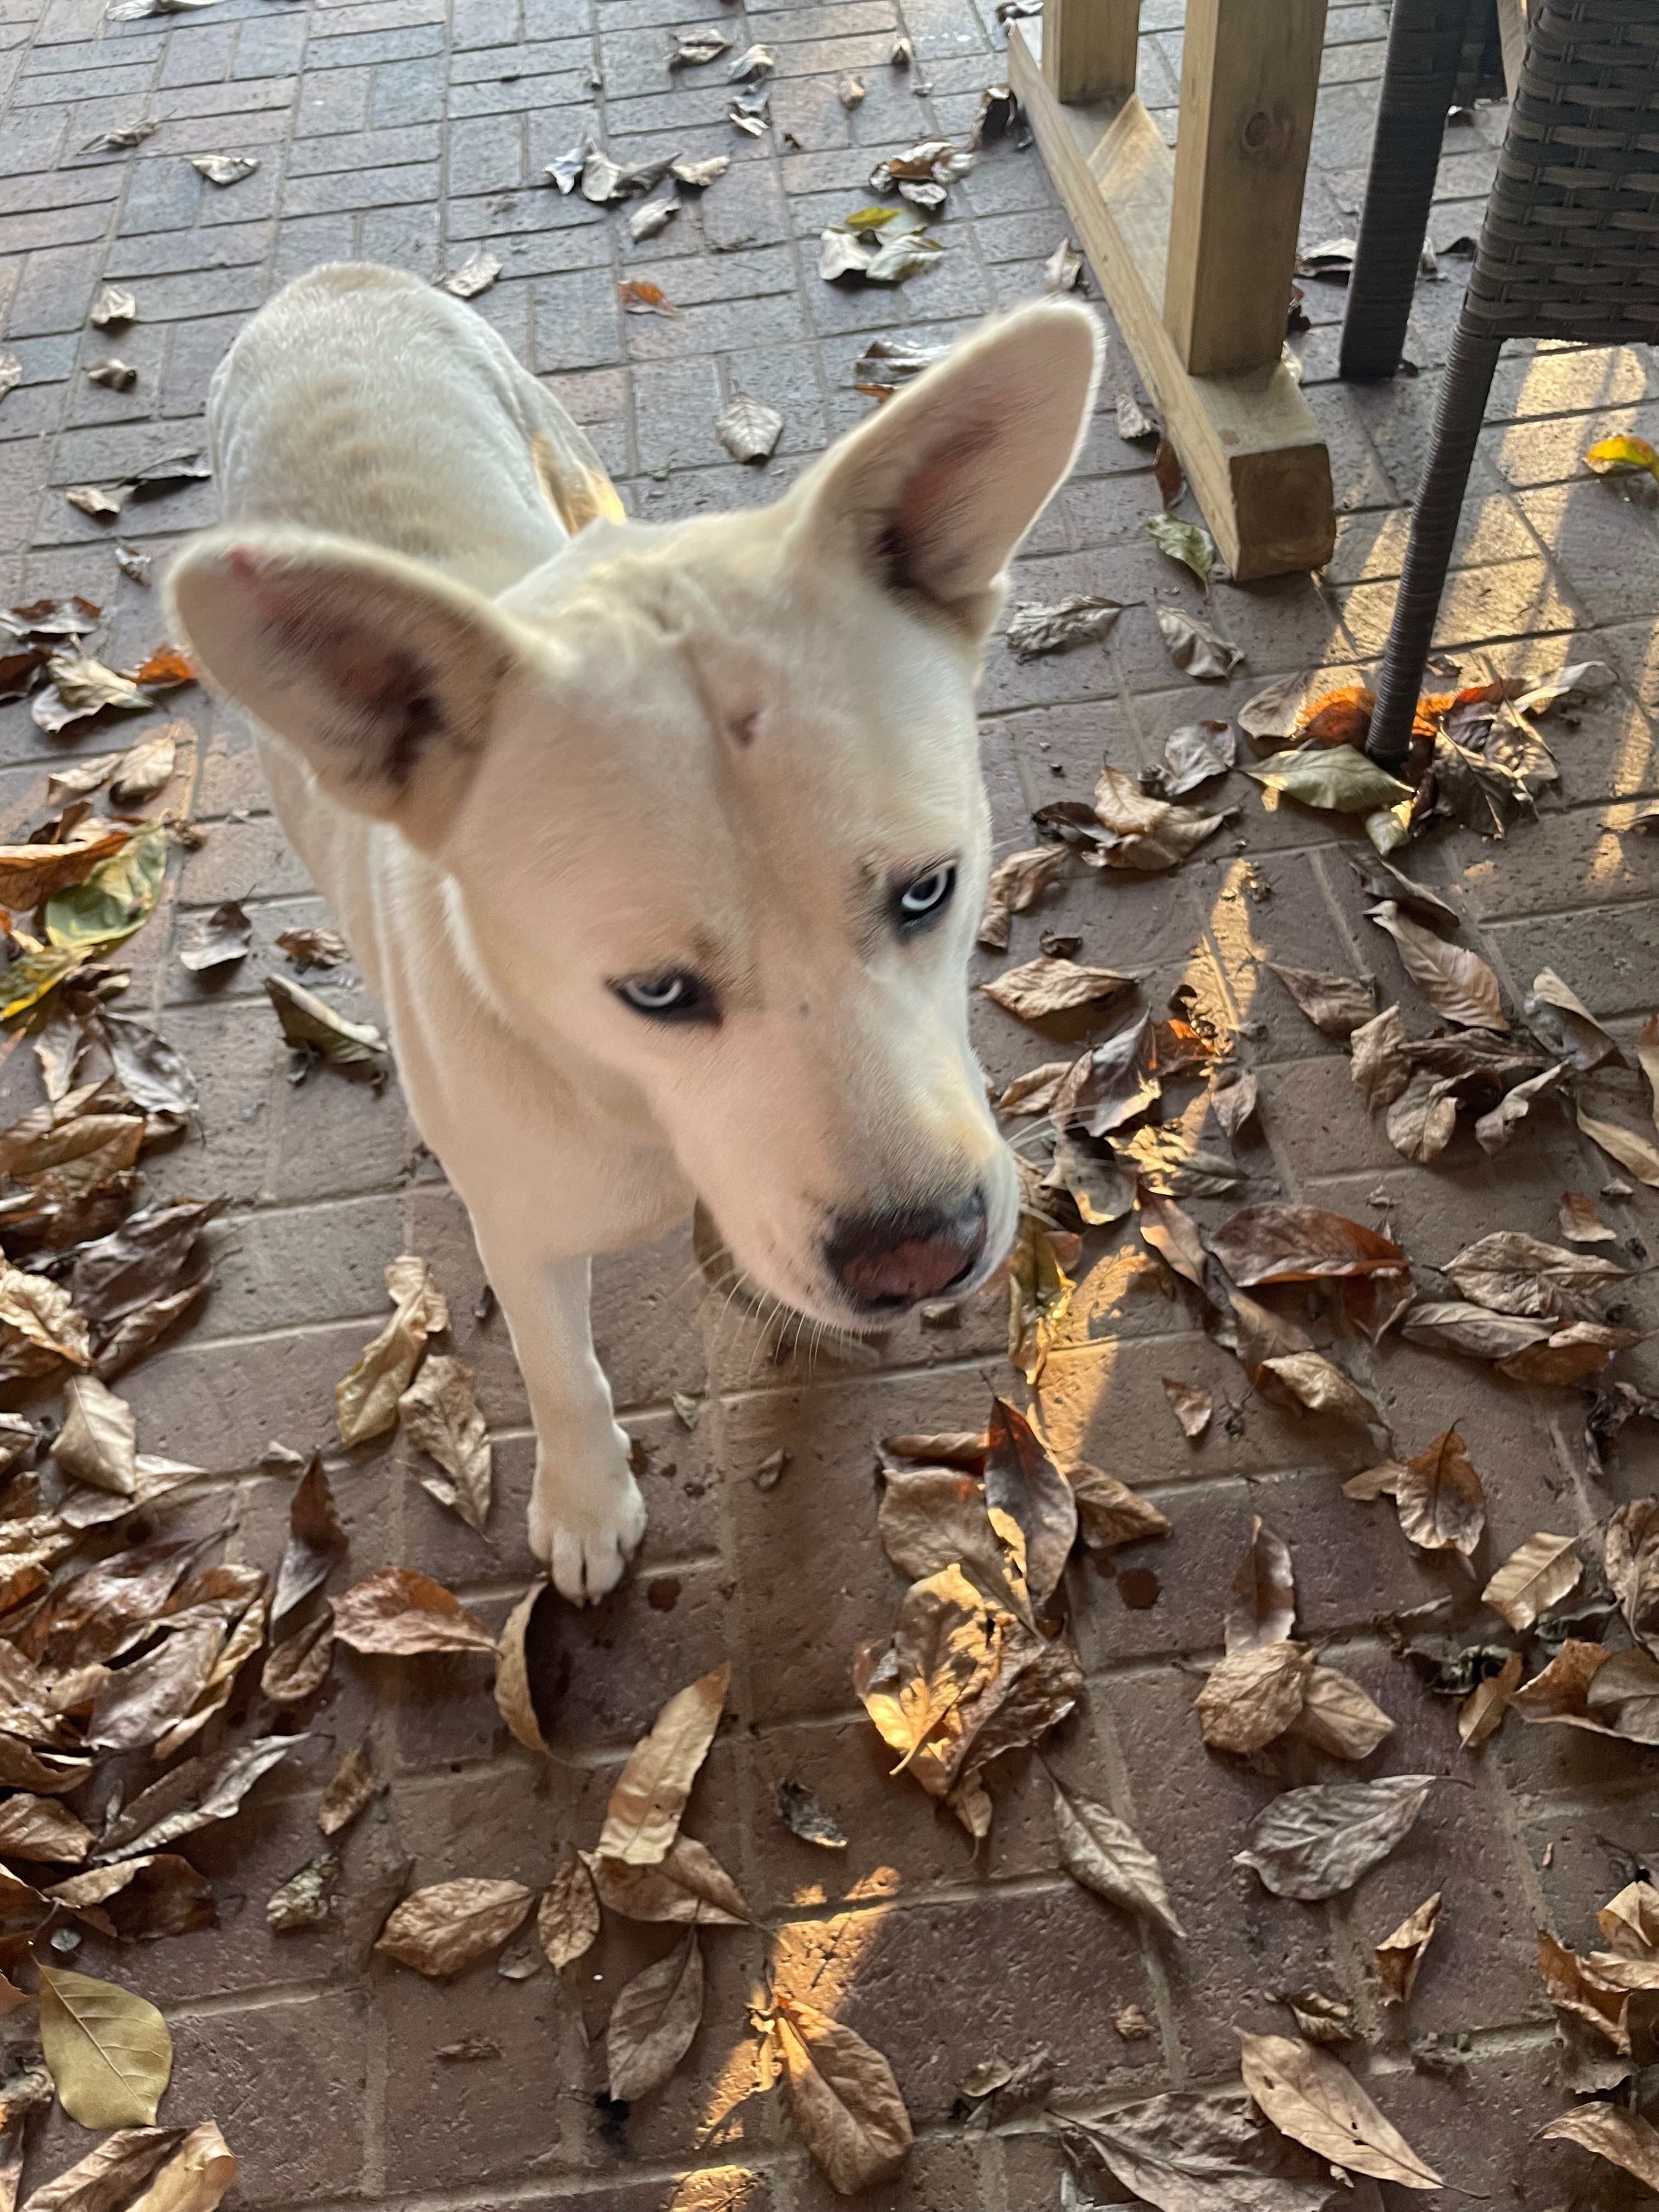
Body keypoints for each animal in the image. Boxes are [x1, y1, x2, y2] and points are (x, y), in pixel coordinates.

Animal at [165, 262, 1102, 1601]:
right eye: (655, 993)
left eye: (930, 891)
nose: (921, 1255)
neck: (627, 1103)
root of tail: (331, 279)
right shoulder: (522, 1229)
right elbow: (557, 1369)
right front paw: (585, 1497)